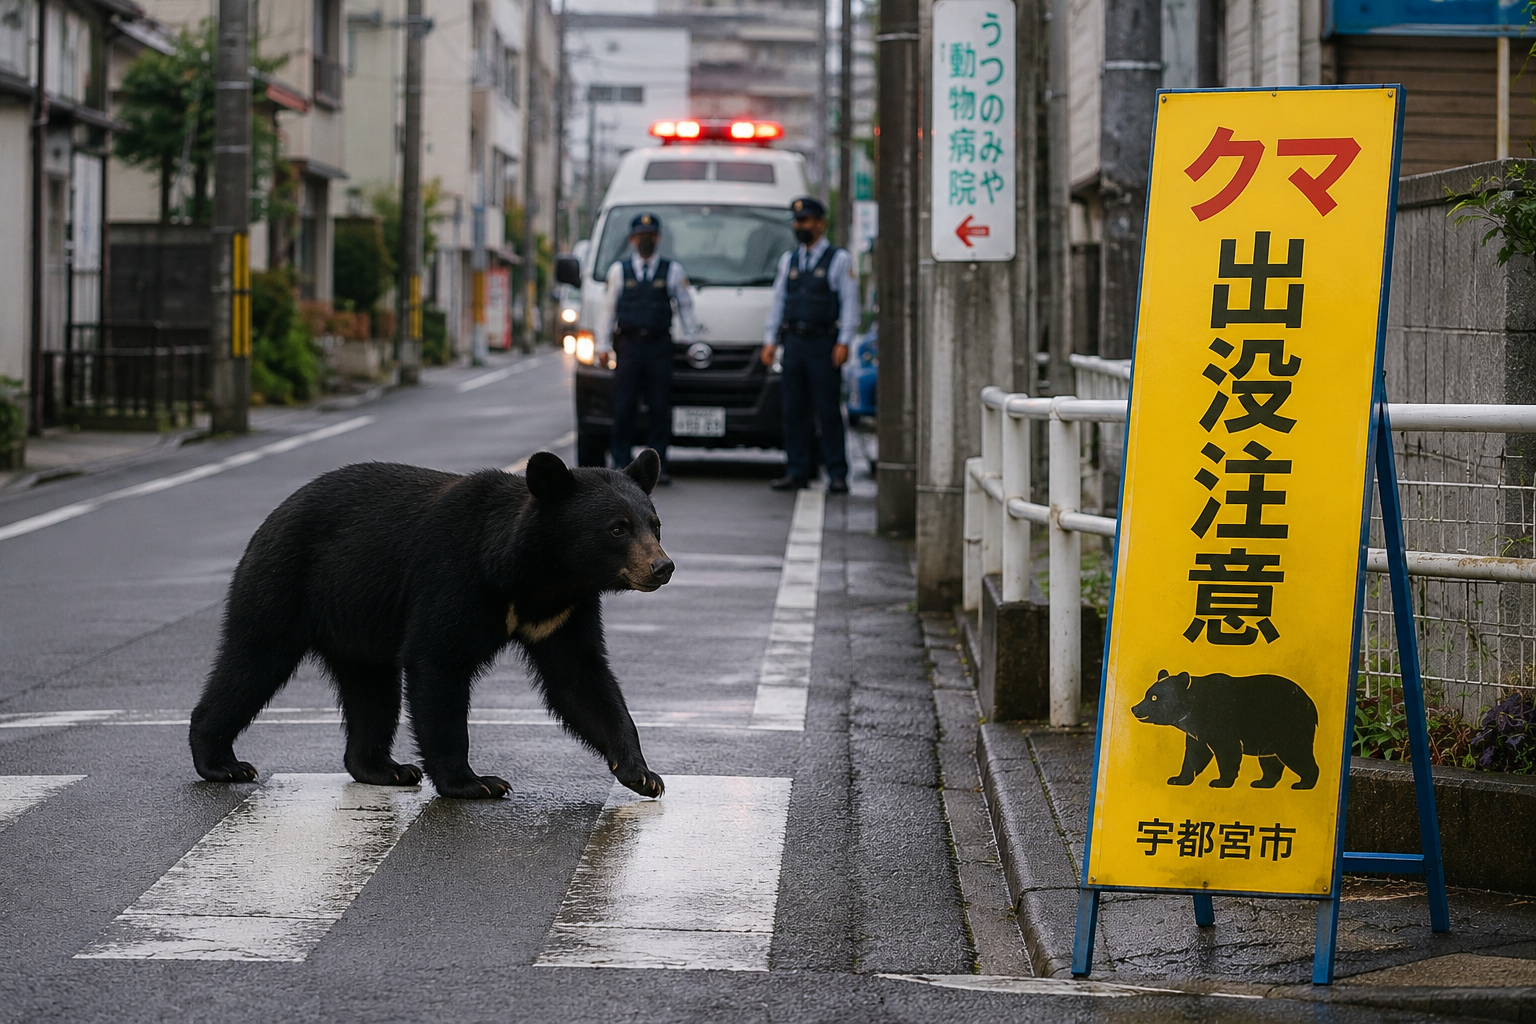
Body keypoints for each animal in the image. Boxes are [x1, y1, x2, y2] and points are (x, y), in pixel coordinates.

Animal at [189, 449, 672, 800]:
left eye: (655, 524)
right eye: (617, 528)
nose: (662, 567)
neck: (535, 577)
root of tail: (272, 516)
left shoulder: (564, 612)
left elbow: (581, 681)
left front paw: (641, 773)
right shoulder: (455, 577)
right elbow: (439, 665)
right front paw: (475, 782)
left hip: (357, 627)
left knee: (371, 692)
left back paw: (384, 769)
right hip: (283, 583)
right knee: (253, 661)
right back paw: (222, 761)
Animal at [1130, 669, 1319, 790]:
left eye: (1154, 697)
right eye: (1147, 694)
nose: (1135, 708)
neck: (1196, 707)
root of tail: (1311, 703)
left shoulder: (1221, 721)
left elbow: (1227, 751)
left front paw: (1220, 781)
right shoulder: (1198, 731)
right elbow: (1195, 754)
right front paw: (1178, 779)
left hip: (1288, 727)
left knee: (1297, 753)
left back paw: (1304, 783)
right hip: (1269, 736)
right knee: (1270, 760)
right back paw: (1262, 782)